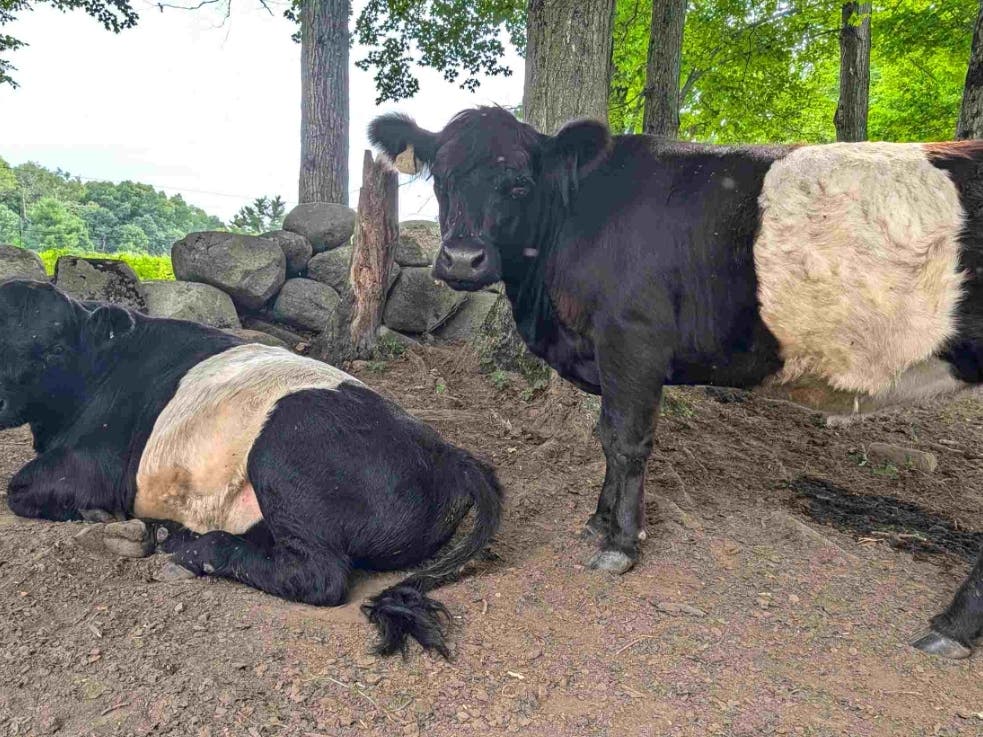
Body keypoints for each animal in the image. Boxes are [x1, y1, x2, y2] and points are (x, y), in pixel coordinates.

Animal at [0, 279, 502, 657]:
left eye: (54, 350)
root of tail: (448, 453)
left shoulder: (95, 465)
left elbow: (18, 488)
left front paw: (99, 517)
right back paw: (171, 535)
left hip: (281, 453)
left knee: (317, 575)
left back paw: (188, 550)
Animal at [369, 106, 983, 659]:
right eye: (442, 178)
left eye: (519, 183)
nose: (461, 259)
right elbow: (605, 437)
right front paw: (598, 521)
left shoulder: (632, 341)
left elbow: (627, 441)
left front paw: (620, 544)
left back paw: (952, 628)